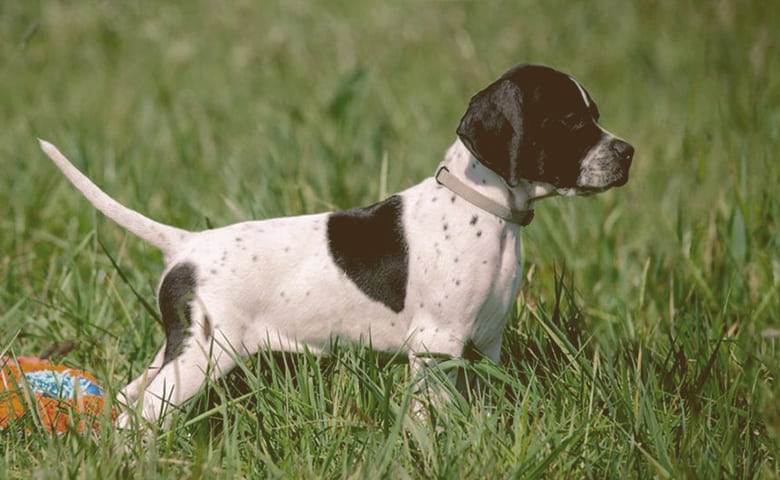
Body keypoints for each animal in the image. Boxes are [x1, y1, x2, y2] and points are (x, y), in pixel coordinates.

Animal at [38, 62, 632, 426]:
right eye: (571, 120)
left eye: (597, 115)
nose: (627, 152)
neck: (484, 208)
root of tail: (187, 245)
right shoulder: (436, 348)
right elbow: (428, 418)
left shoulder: (485, 345)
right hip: (204, 356)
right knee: (134, 416)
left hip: (177, 350)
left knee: (127, 396)